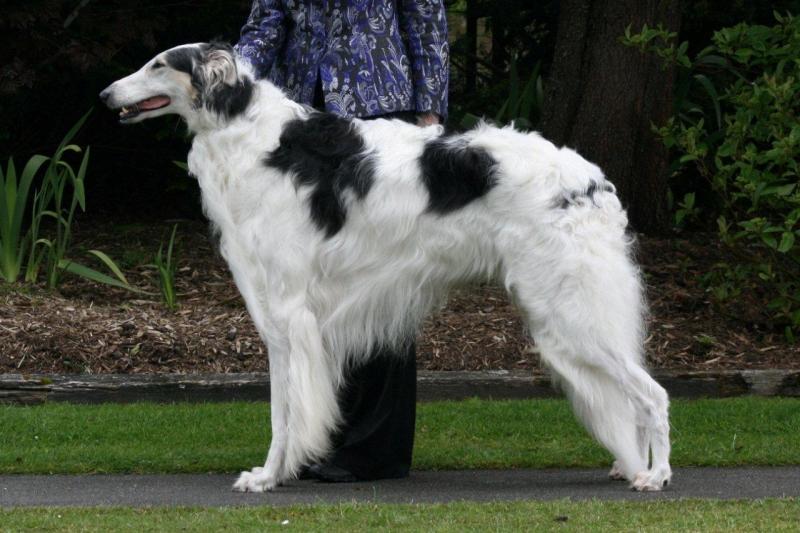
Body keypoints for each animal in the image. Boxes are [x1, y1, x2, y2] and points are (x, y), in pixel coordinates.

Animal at [101, 40, 676, 490]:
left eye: (159, 64)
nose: (106, 96)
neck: (248, 131)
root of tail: (593, 181)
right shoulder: (281, 317)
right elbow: (283, 407)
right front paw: (277, 472)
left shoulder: (288, 313)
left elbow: (285, 413)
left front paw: (268, 476)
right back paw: (633, 467)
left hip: (569, 315)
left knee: (654, 395)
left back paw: (657, 475)